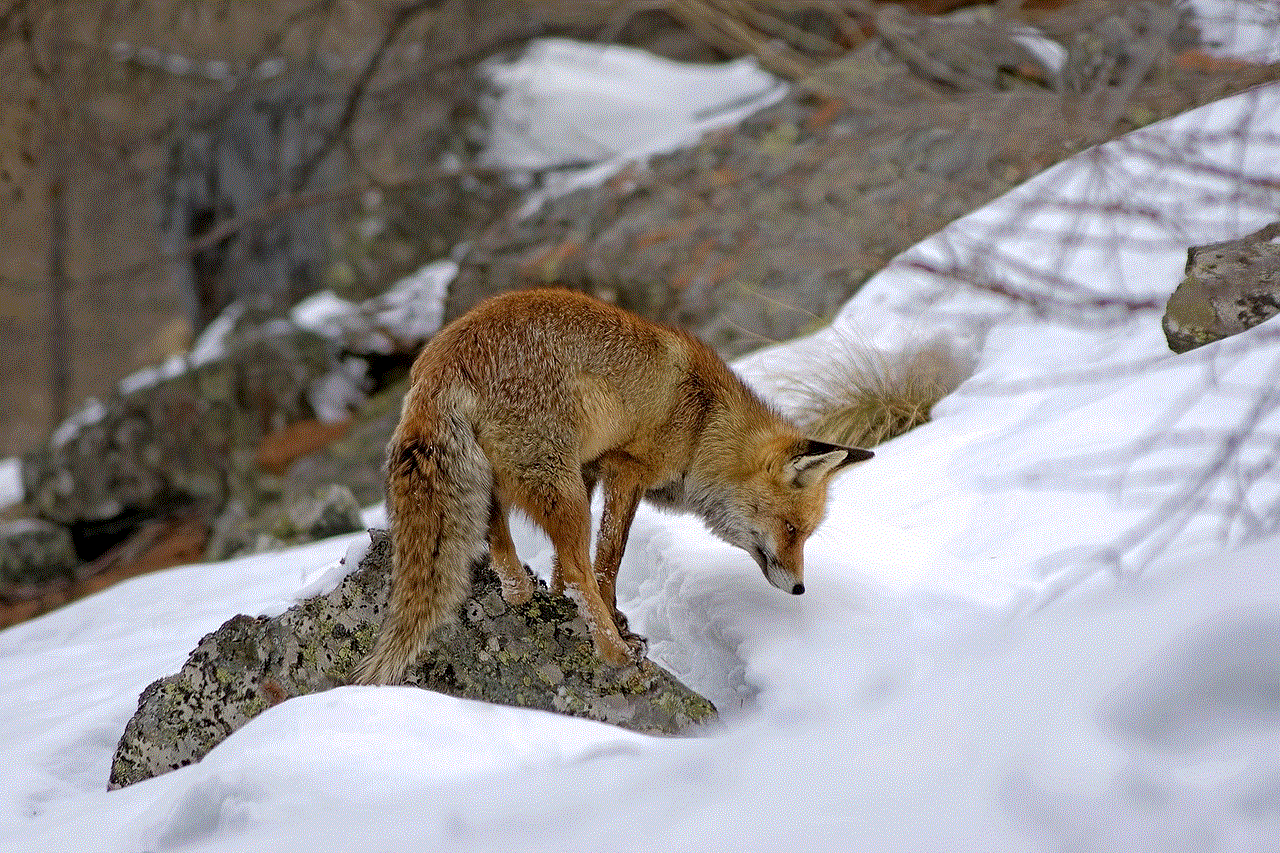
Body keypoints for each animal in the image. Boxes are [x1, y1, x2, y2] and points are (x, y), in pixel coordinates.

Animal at [350, 289, 870, 681]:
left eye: (804, 534)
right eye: (791, 529)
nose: (800, 588)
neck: (705, 425)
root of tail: (439, 361)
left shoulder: (591, 466)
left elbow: (566, 568)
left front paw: (561, 599)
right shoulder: (625, 466)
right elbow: (607, 560)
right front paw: (615, 622)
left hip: (511, 477)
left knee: (498, 532)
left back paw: (519, 590)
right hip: (562, 491)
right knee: (578, 563)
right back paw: (613, 652)